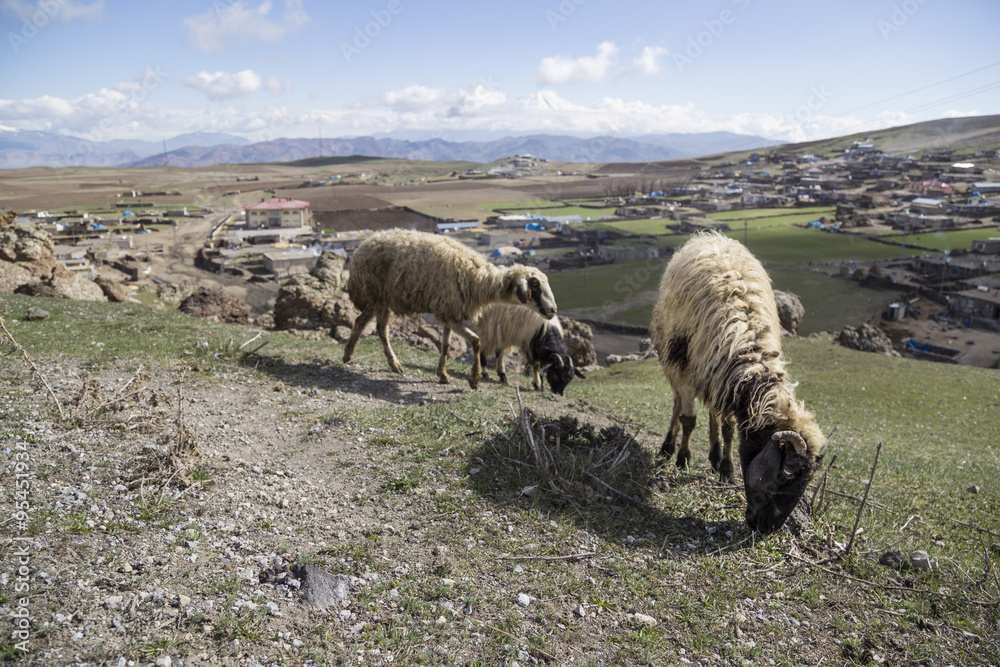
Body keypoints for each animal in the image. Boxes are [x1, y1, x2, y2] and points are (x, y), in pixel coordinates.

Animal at [341, 228, 558, 389]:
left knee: (369, 324)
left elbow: (446, 345)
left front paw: (443, 375)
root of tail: (362, 247)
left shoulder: (448, 311)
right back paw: (376, 360)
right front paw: (474, 379)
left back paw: (358, 357)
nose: (553, 310)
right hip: (375, 295)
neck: (478, 278)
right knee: (375, 327)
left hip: (381, 299)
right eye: (535, 285)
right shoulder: (449, 312)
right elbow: (477, 341)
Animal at [650, 232, 825, 534]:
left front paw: (727, 470)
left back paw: (714, 455)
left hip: (711, 376)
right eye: (785, 474)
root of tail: (710, 236)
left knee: (712, 413)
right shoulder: (686, 372)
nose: (768, 528)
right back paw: (669, 448)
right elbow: (688, 420)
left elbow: (729, 428)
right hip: (673, 362)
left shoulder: (725, 381)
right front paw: (683, 459)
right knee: (677, 406)